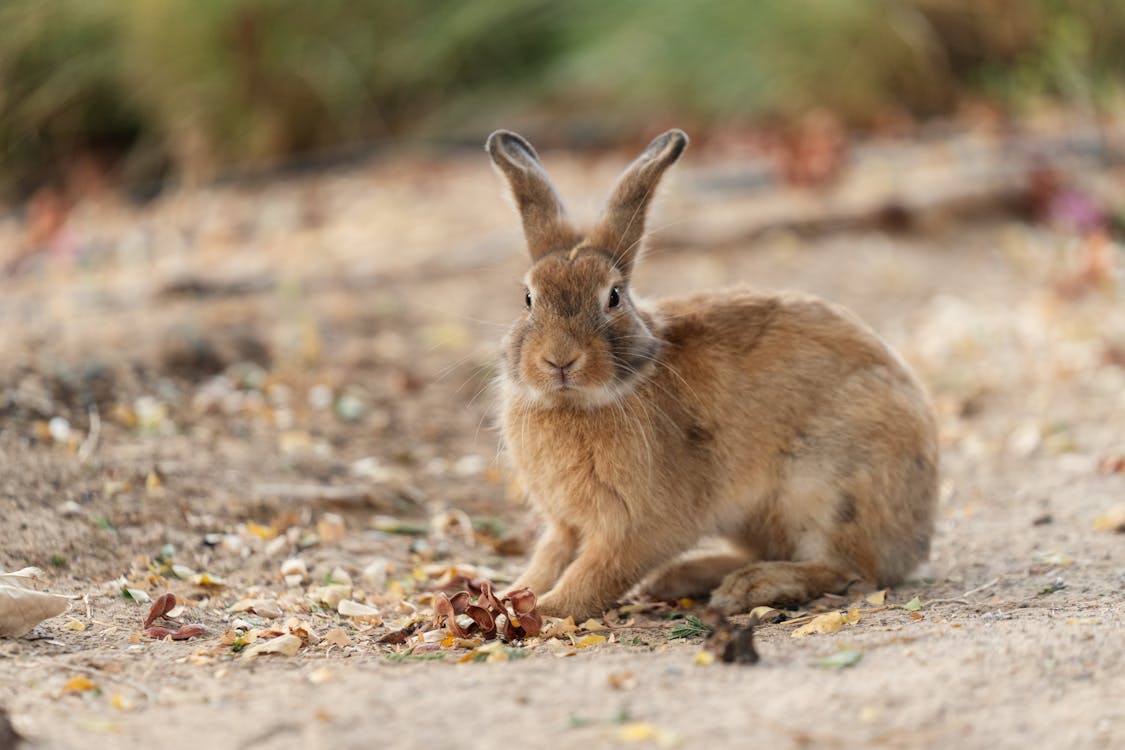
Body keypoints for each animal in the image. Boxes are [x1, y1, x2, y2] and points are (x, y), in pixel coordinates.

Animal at [485, 128, 938, 621]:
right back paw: (682, 578)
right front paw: (510, 595)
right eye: (528, 298)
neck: (580, 401)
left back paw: (748, 588)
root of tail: (916, 536)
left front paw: (548, 610)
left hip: (827, 491)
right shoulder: (565, 524)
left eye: (614, 297)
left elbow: (598, 571)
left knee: (847, 569)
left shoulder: (638, 527)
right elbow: (549, 558)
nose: (560, 360)